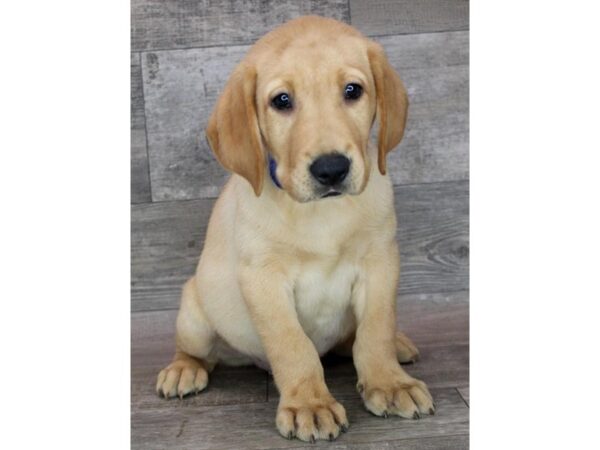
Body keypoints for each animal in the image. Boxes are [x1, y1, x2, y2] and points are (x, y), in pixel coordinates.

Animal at [157, 14, 434, 442]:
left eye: (353, 90)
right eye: (282, 101)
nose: (331, 169)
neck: (321, 213)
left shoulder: (380, 262)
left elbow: (376, 329)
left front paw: (389, 383)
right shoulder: (263, 279)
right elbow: (292, 345)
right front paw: (310, 404)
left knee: (355, 339)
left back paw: (398, 347)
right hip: (195, 314)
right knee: (195, 350)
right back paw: (183, 369)